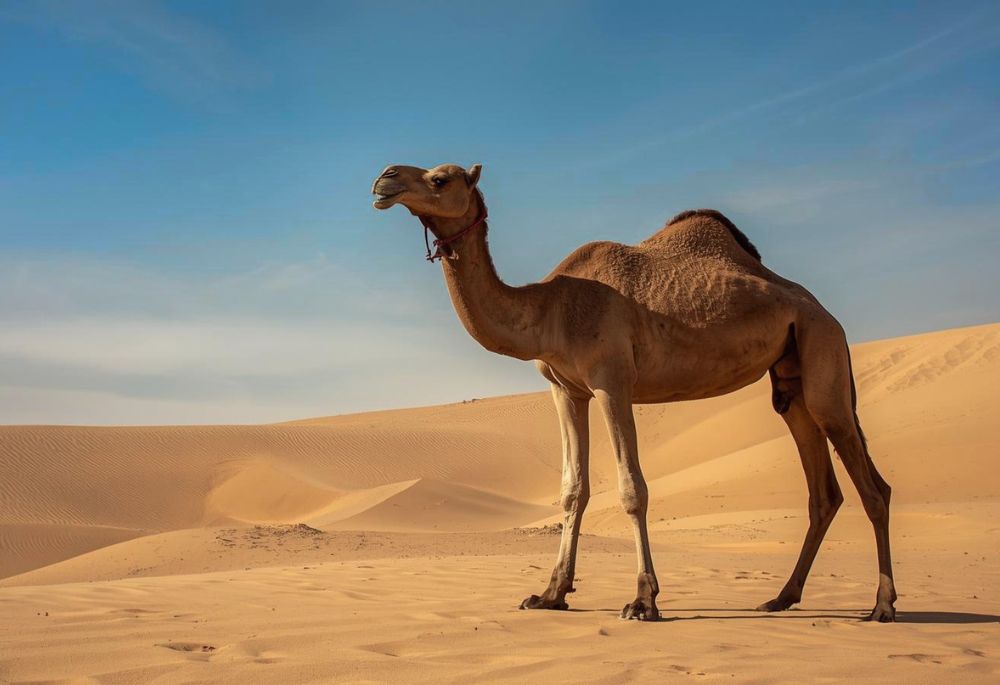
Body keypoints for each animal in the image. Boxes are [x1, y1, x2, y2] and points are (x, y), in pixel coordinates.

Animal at [370, 162, 897, 622]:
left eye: (440, 179)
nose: (383, 179)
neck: (550, 308)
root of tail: (827, 313)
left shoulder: (612, 382)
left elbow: (632, 489)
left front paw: (643, 600)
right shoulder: (566, 390)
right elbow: (572, 489)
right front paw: (550, 593)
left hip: (822, 355)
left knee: (873, 488)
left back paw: (882, 606)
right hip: (791, 381)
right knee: (823, 492)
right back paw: (781, 598)